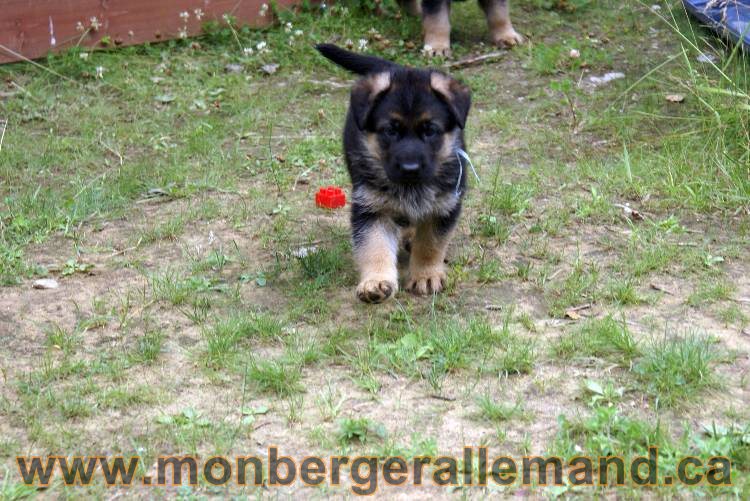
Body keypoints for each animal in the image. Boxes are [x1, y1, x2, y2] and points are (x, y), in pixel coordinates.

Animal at [316, 44, 470, 300]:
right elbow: (374, 246)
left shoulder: (444, 204)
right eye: (390, 130)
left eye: (430, 130)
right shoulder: (371, 207)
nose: (410, 168)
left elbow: (430, 244)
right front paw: (376, 281)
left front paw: (426, 275)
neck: (411, 187)